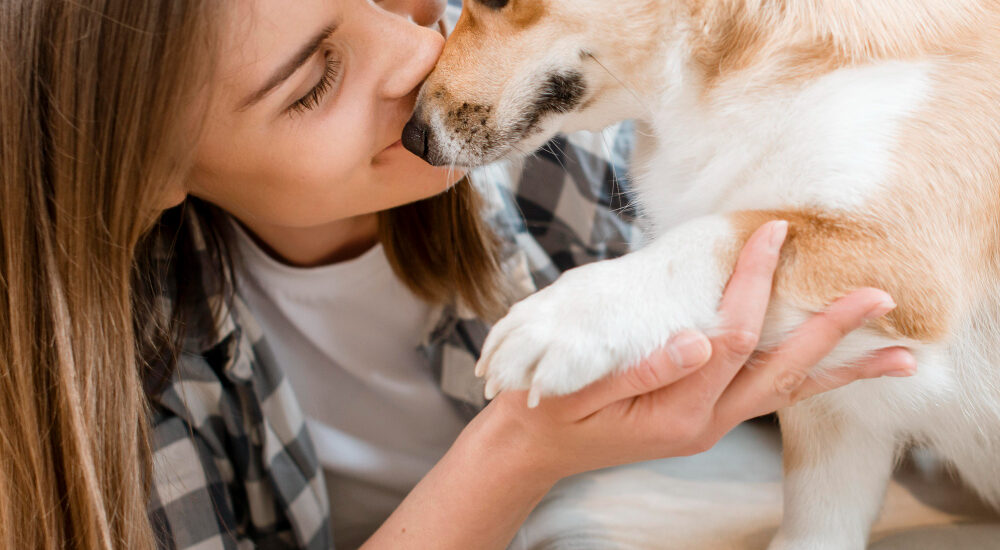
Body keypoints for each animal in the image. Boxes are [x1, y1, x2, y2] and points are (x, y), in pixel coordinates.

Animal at [400, 2, 1000, 548]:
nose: (412, 138)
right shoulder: (838, 417)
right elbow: (813, 527)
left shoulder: (903, 257)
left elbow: (718, 235)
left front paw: (569, 317)